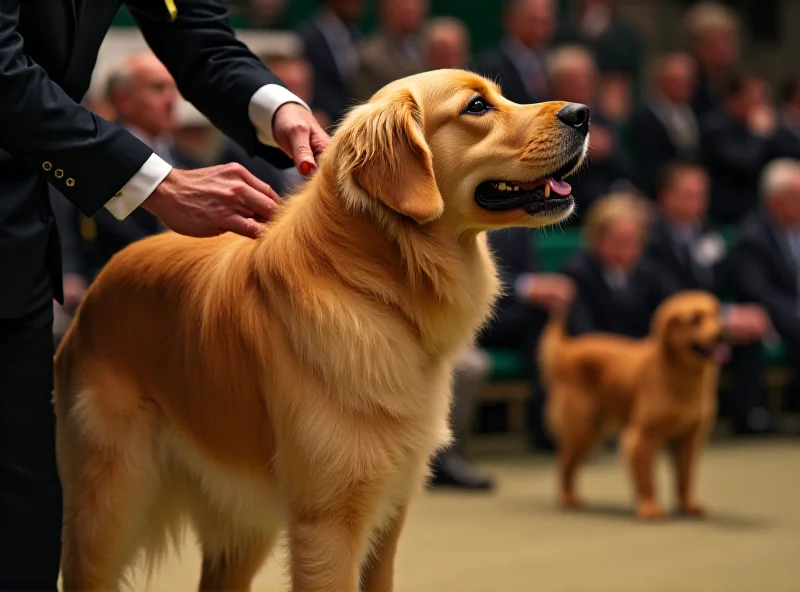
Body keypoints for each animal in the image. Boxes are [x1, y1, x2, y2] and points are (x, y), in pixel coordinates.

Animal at [51, 70, 588, 592]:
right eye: (476, 107)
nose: (582, 113)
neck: (375, 291)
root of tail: (96, 290)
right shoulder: (329, 521)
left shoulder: (389, 510)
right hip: (111, 504)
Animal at [540, 290, 728, 520]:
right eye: (695, 319)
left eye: (716, 315)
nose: (722, 334)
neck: (676, 373)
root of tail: (567, 349)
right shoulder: (643, 437)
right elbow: (647, 480)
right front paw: (649, 508)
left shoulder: (688, 439)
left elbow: (684, 478)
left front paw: (687, 506)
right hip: (581, 428)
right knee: (564, 464)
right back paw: (568, 498)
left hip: (593, 432)